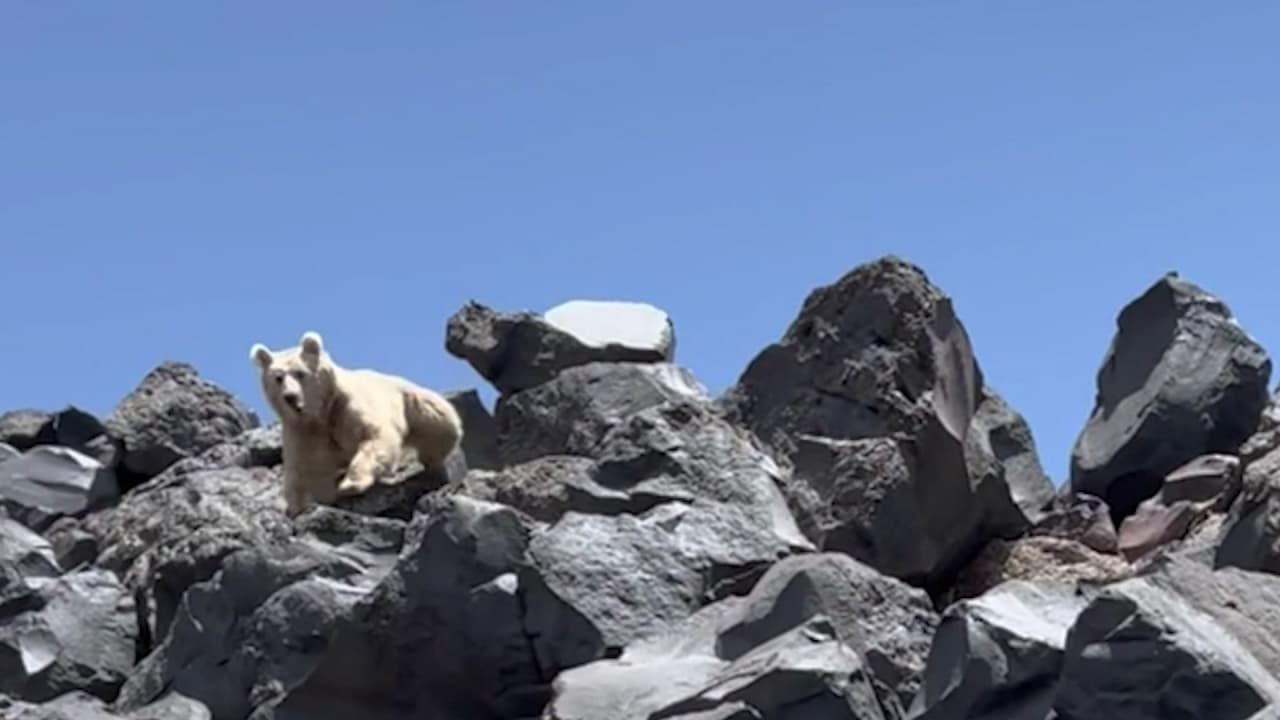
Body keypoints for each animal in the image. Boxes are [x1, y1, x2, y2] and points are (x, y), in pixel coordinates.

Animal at [248, 330, 464, 516]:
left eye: (300, 373)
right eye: (278, 378)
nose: (290, 397)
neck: (321, 412)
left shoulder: (346, 407)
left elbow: (373, 435)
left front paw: (350, 485)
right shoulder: (303, 431)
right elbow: (307, 469)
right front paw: (299, 507)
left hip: (412, 400)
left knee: (439, 423)